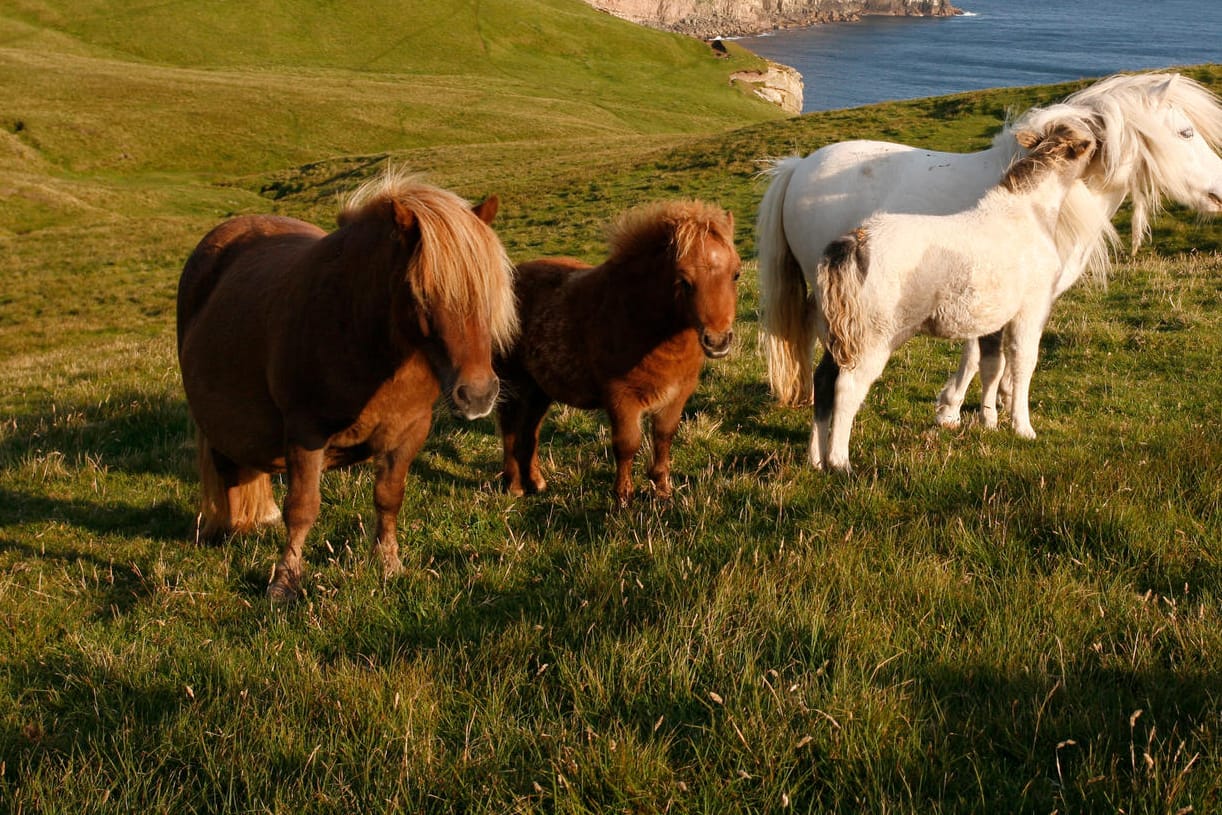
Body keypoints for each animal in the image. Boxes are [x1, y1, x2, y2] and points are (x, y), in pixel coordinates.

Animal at [175, 172, 515, 603]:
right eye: (420, 294)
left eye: (488, 291)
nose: (478, 395)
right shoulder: (305, 433)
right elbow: (302, 508)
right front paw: (285, 580)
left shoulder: (409, 432)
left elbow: (388, 498)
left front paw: (389, 564)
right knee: (227, 468)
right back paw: (226, 528)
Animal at [491, 199, 738, 503]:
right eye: (684, 280)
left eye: (736, 274)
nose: (717, 341)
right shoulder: (621, 397)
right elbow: (627, 444)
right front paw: (623, 497)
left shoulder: (676, 395)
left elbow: (663, 438)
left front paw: (663, 490)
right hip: (514, 383)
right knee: (510, 429)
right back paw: (514, 485)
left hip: (540, 389)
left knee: (530, 432)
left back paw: (537, 482)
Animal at [757, 73, 1222, 427]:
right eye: (1185, 133)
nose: (1220, 189)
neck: (1042, 197)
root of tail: (798, 167)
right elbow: (985, 354)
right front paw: (960, 411)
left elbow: (992, 356)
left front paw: (990, 405)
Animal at [811, 122, 1099, 471]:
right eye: (1088, 143)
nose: (1100, 147)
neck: (1028, 214)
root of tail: (856, 242)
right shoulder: (1031, 308)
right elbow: (1023, 362)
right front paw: (1023, 428)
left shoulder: (994, 318)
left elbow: (992, 365)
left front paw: (988, 422)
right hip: (873, 337)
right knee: (847, 387)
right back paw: (839, 462)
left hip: (837, 332)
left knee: (822, 381)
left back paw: (815, 459)